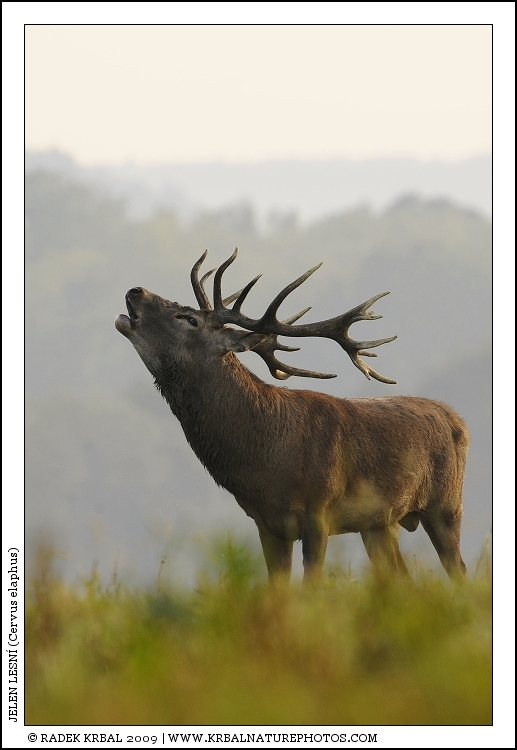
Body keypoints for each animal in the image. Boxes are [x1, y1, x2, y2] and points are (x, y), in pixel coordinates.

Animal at [115, 248, 469, 583]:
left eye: (189, 319)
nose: (135, 290)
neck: (267, 464)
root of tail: (457, 419)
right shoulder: (266, 523)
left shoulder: (319, 511)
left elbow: (311, 585)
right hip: (381, 522)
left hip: (447, 504)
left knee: (460, 571)